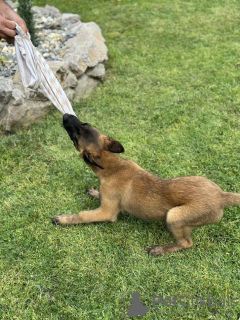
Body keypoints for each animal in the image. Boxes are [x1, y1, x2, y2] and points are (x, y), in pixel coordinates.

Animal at [52, 114, 240, 256]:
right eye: (85, 124)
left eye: (76, 136)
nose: (66, 115)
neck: (113, 166)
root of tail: (222, 196)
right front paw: (94, 192)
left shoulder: (106, 212)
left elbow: (83, 215)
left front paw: (63, 219)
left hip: (174, 216)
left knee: (186, 243)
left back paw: (161, 249)